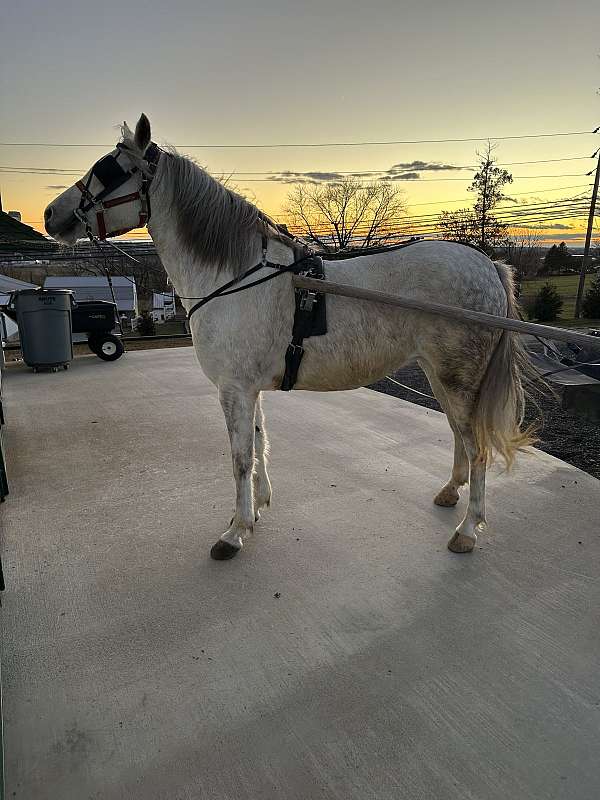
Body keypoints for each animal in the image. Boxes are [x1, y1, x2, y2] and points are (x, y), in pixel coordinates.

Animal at [45, 114, 536, 564]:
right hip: (441, 377)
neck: (234, 275)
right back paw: (451, 492)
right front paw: (255, 510)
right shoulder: (247, 389)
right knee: (459, 434)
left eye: (109, 170)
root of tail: (489, 265)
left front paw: (235, 532)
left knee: (477, 447)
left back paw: (468, 530)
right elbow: (259, 443)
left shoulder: (234, 390)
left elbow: (241, 457)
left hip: (457, 380)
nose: (52, 215)